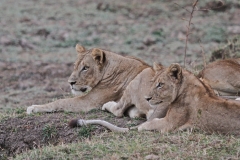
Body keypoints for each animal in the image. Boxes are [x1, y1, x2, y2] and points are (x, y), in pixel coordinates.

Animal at [70, 63, 240, 134]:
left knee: (119, 108)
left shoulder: (168, 124)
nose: (147, 98)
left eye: (160, 84)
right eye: (154, 83)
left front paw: (141, 127)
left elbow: (148, 124)